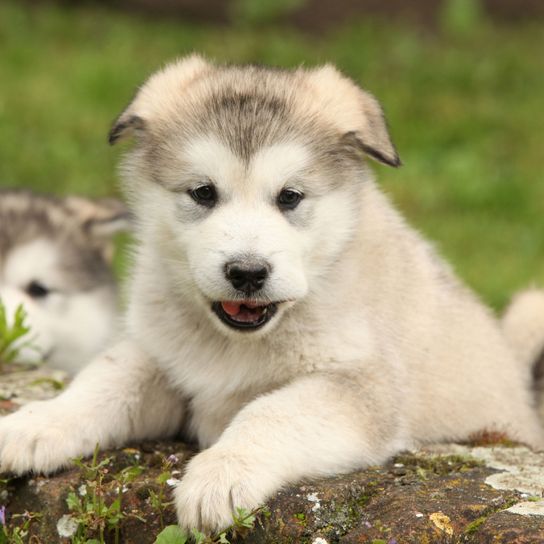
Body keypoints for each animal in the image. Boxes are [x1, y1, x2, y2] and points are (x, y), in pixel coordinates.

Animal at [1, 56, 544, 532]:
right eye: (203, 192)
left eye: (290, 197)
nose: (247, 273)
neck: (237, 343)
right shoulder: (160, 356)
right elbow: (103, 381)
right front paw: (37, 423)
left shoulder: (359, 388)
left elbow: (271, 412)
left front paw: (222, 472)